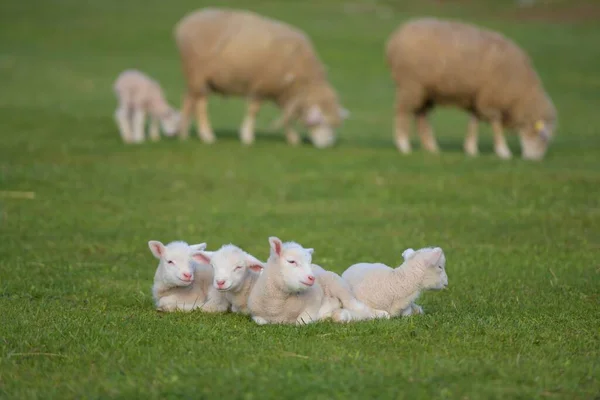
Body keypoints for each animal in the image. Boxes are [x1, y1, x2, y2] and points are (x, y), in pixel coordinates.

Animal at [173, 7, 350, 148]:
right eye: (320, 122)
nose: (327, 146)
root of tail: (185, 22)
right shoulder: (261, 86)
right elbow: (254, 111)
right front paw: (247, 137)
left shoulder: (286, 94)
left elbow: (288, 116)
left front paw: (292, 139)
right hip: (198, 75)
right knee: (200, 105)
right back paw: (207, 136)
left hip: (194, 77)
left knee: (188, 100)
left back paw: (183, 134)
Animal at [384, 16, 556, 161]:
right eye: (543, 138)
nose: (535, 160)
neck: (521, 92)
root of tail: (396, 36)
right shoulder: (491, 99)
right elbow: (496, 125)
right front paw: (503, 151)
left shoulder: (478, 98)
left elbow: (473, 122)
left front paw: (471, 149)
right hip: (410, 85)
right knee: (402, 111)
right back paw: (403, 145)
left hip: (425, 90)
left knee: (422, 116)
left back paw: (431, 147)